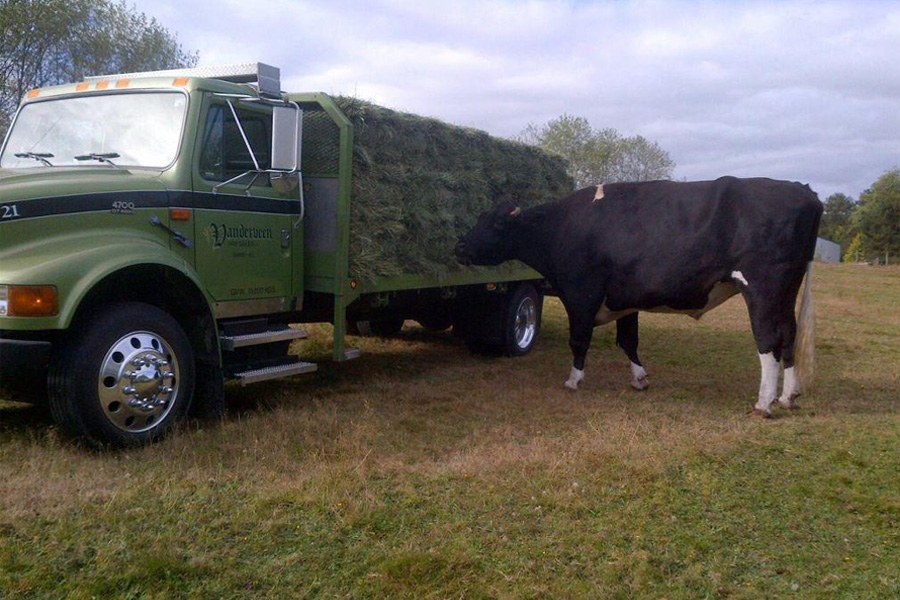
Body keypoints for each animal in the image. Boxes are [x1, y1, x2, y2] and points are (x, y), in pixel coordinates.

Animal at [455, 177, 823, 417]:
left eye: (493, 224)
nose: (459, 246)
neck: (560, 228)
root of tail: (802, 190)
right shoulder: (625, 298)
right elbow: (628, 340)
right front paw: (639, 379)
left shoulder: (580, 293)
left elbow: (579, 340)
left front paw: (573, 380)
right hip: (785, 291)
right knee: (789, 335)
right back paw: (789, 396)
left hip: (762, 287)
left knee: (768, 339)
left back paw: (764, 403)